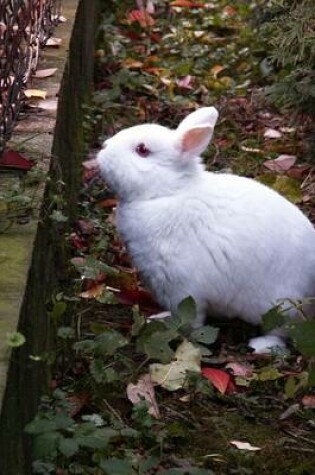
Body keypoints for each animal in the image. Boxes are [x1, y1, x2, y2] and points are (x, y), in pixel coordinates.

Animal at [94, 108, 315, 354]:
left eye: (142, 150)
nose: (103, 148)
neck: (167, 193)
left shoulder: (182, 288)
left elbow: (190, 319)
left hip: (280, 307)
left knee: (283, 330)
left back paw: (261, 345)